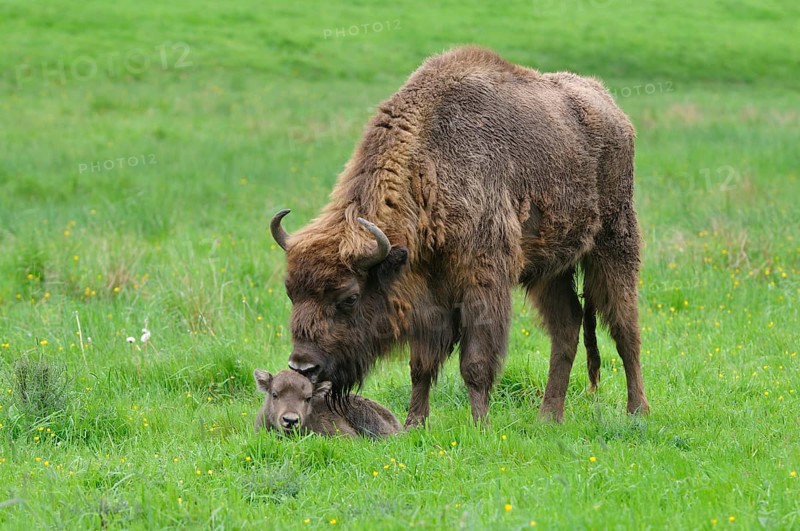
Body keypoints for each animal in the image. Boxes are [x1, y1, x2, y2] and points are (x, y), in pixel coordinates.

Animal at [271, 46, 649, 425]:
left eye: (349, 297)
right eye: (290, 291)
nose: (303, 365)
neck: (430, 166)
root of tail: (613, 110)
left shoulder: (482, 283)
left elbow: (475, 364)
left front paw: (481, 424)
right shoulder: (428, 296)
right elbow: (421, 366)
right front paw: (414, 424)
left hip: (614, 243)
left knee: (624, 327)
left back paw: (637, 411)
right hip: (550, 269)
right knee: (567, 325)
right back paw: (549, 416)